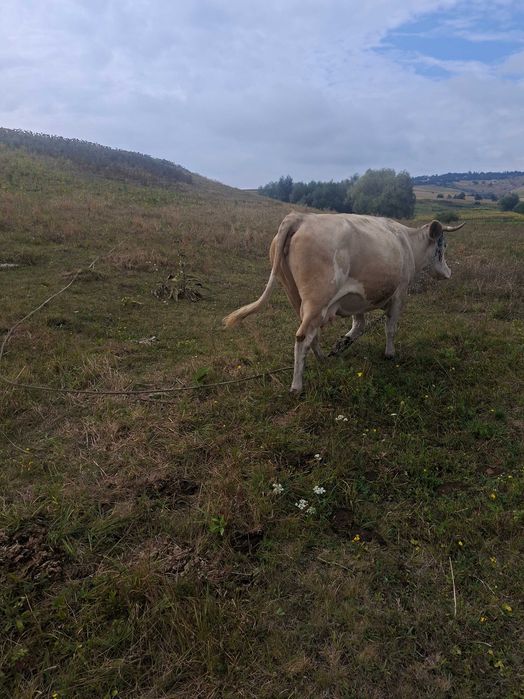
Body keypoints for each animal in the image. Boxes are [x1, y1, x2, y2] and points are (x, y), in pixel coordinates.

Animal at [223, 212, 465, 393]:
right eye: (443, 246)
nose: (449, 273)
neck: (406, 241)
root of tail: (300, 217)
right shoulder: (400, 294)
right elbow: (390, 328)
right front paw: (389, 354)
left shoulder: (358, 298)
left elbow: (359, 324)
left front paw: (342, 343)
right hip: (317, 299)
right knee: (302, 337)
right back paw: (297, 386)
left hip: (295, 296)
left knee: (311, 334)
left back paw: (322, 358)